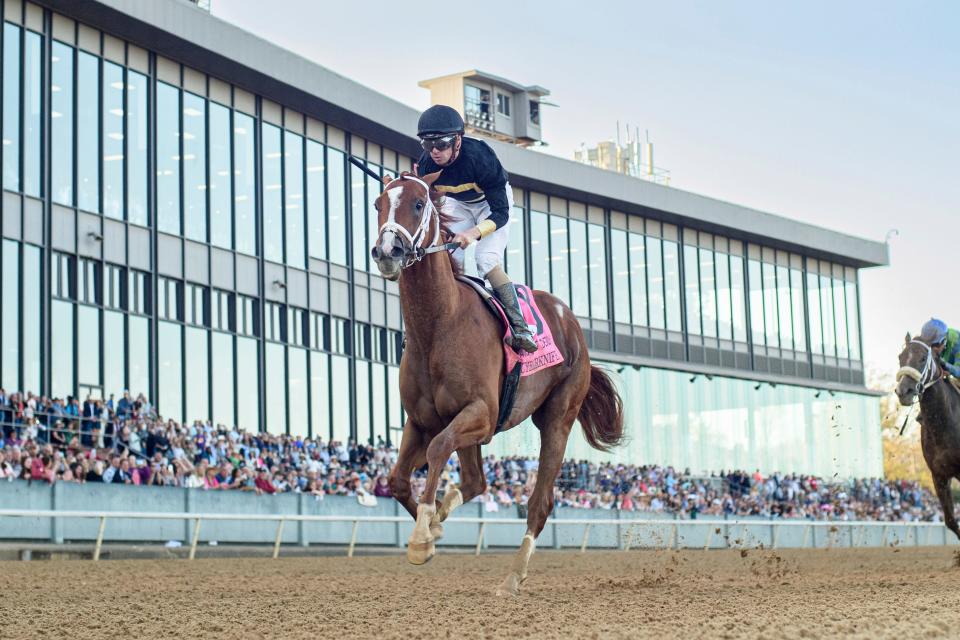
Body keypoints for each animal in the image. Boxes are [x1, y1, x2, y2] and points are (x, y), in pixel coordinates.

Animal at [368, 170, 624, 596]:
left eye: (419, 204)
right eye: (378, 203)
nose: (388, 250)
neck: (439, 325)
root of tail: (569, 319)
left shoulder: (482, 414)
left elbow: (437, 450)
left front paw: (423, 537)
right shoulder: (422, 420)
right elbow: (398, 479)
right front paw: (432, 528)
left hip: (558, 416)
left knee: (540, 502)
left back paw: (513, 576)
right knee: (477, 480)